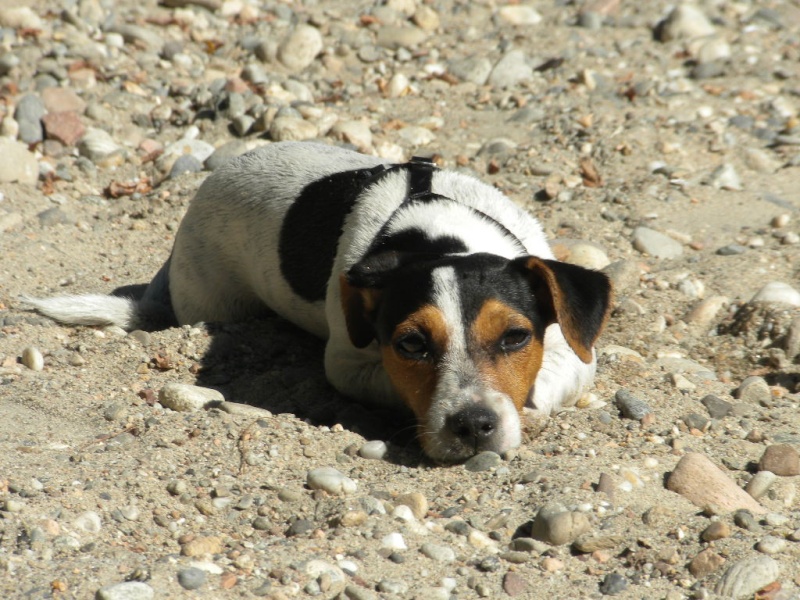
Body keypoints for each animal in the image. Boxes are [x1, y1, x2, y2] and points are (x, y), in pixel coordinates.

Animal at [25, 143, 612, 462]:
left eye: (515, 337)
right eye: (411, 345)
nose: (472, 426)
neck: (438, 232)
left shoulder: (572, 353)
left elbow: (551, 378)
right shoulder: (347, 363)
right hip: (213, 299)